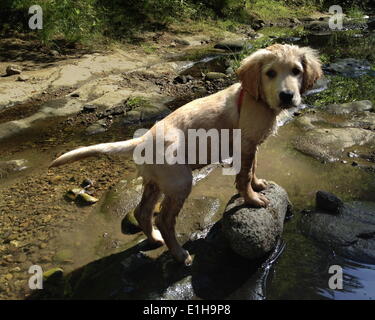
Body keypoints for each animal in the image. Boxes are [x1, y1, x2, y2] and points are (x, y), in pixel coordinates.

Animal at [50, 45, 324, 264]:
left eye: (296, 71)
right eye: (270, 73)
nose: (287, 96)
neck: (256, 99)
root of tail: (142, 138)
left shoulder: (251, 145)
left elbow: (253, 169)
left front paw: (258, 185)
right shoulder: (246, 144)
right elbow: (244, 176)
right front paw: (252, 199)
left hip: (157, 182)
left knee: (142, 212)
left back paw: (155, 239)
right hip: (180, 181)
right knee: (163, 219)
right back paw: (180, 255)